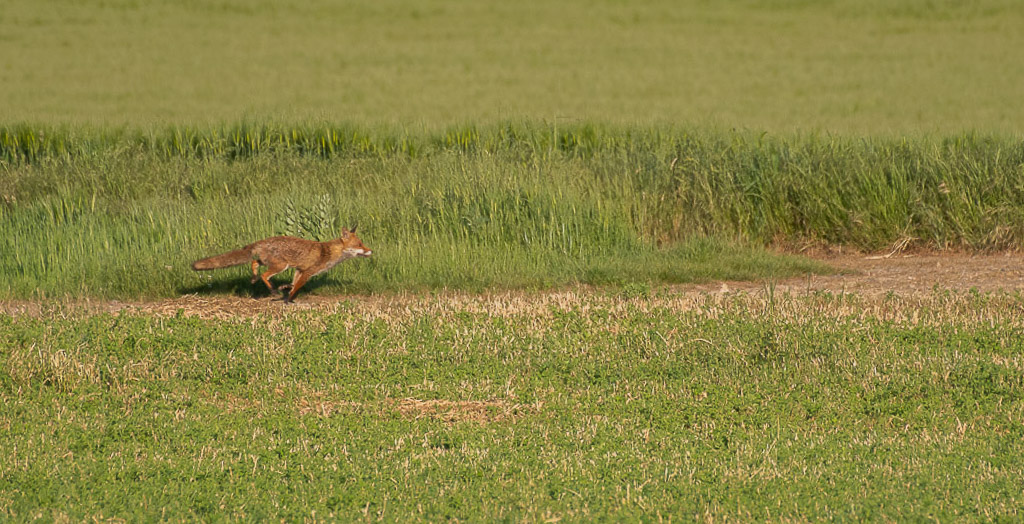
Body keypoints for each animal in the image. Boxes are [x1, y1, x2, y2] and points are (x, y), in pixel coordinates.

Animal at [191, 227, 372, 303]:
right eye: (360, 244)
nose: (370, 251)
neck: (327, 252)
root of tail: (263, 241)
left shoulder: (299, 270)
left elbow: (292, 284)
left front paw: (285, 289)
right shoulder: (308, 272)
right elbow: (297, 287)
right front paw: (289, 300)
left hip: (270, 262)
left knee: (254, 262)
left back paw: (254, 278)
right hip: (280, 266)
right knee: (264, 274)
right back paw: (271, 289)